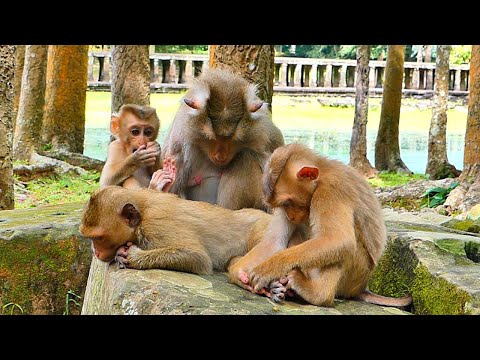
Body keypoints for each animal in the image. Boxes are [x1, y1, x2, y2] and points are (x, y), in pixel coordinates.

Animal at [80, 187, 272, 274]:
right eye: (90, 238)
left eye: (99, 238)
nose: (96, 252)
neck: (143, 212)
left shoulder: (156, 225)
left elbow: (198, 257)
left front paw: (132, 256)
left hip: (265, 228)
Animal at [163, 67, 284, 211]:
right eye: (211, 138)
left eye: (232, 139)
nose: (220, 156)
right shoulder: (179, 142)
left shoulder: (269, 138)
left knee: (245, 157)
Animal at [229, 145, 412, 308]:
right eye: (283, 205)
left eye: (288, 202)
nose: (291, 216)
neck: (322, 176)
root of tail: (361, 288)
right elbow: (274, 242)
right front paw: (239, 274)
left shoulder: (331, 190)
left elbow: (338, 240)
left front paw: (267, 269)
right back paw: (280, 288)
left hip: (356, 274)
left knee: (342, 247)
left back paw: (317, 294)